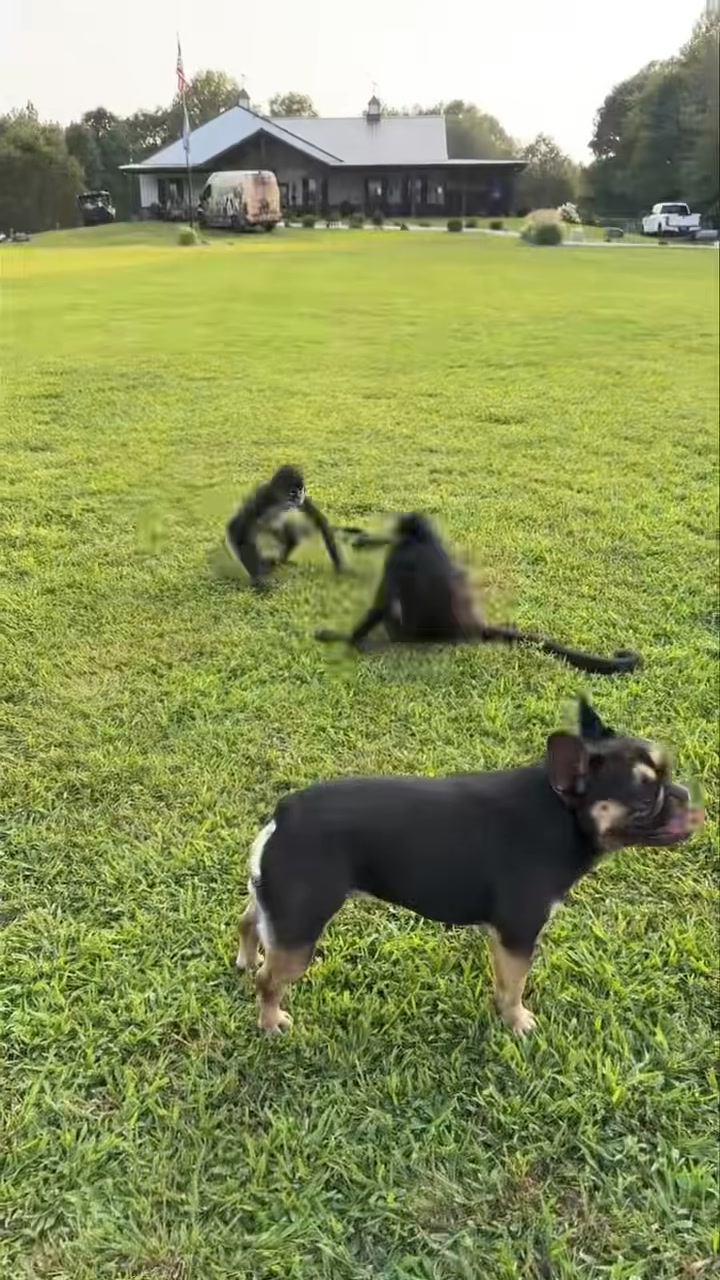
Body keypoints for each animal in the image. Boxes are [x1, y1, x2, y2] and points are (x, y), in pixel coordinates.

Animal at [315, 513, 640, 675]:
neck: (422, 539)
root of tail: (469, 625)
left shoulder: (400, 556)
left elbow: (381, 603)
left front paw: (344, 639)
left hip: (401, 630)